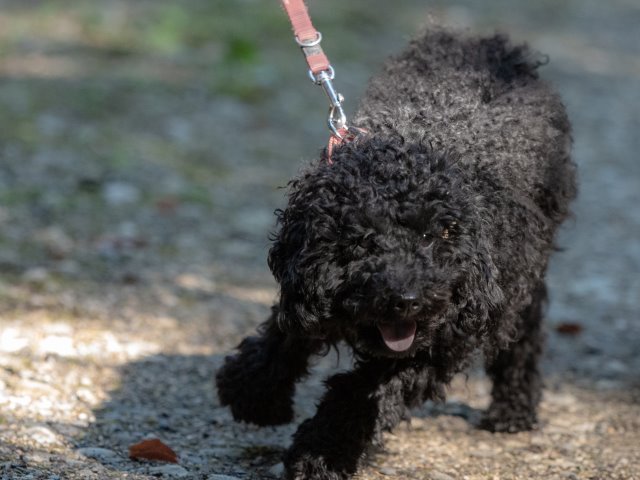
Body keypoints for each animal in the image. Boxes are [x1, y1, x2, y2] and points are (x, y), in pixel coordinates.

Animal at [216, 28, 577, 480]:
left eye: (437, 236)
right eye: (361, 241)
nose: (407, 300)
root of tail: (489, 42)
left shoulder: (448, 336)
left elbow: (363, 392)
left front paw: (320, 453)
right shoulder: (305, 284)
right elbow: (286, 334)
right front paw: (253, 390)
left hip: (518, 282)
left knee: (523, 334)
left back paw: (513, 411)